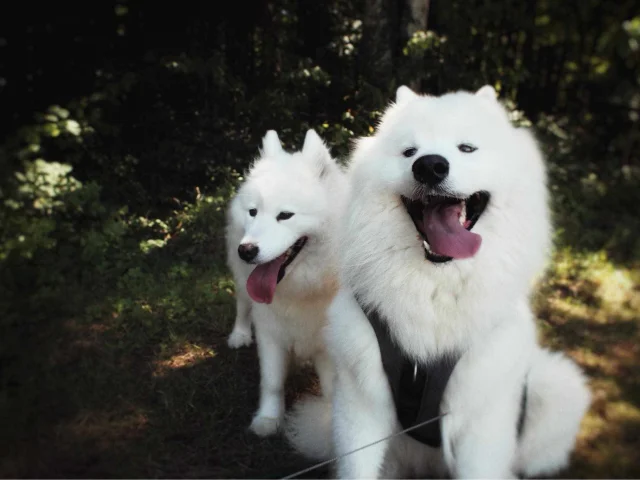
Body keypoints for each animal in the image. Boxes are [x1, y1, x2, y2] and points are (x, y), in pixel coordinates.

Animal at [224, 129, 344, 436]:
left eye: (285, 215)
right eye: (253, 212)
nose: (247, 251)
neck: (303, 287)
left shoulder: (330, 347)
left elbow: (332, 392)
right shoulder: (270, 332)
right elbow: (272, 382)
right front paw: (268, 418)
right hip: (241, 280)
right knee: (242, 305)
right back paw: (239, 334)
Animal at [284, 86, 592, 476]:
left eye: (467, 148)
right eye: (409, 152)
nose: (429, 165)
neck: (435, 284)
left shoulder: (481, 422)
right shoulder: (360, 404)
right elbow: (357, 468)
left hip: (555, 386)